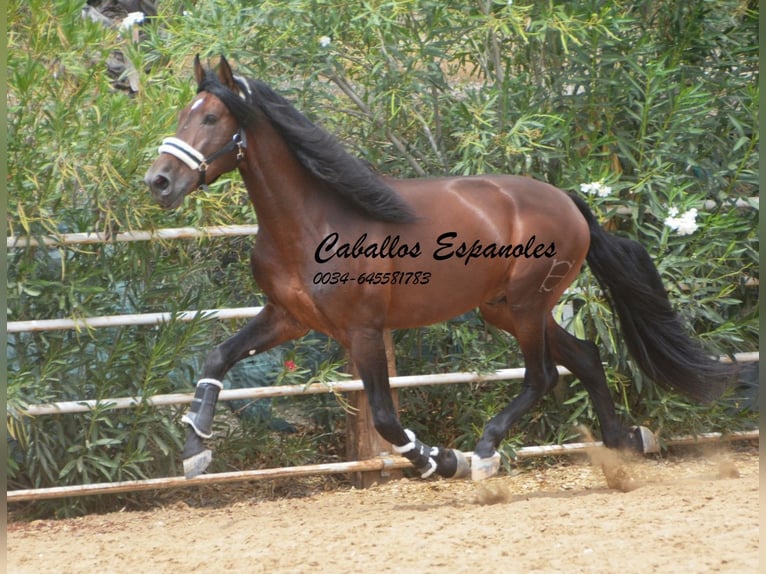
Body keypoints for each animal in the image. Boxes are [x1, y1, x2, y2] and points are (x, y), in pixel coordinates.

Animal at [146, 57, 736, 482]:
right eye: (181, 115)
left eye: (211, 117)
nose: (159, 181)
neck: (310, 223)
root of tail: (566, 199)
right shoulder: (287, 317)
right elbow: (217, 358)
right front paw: (195, 448)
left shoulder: (363, 331)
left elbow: (385, 417)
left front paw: (440, 460)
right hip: (506, 309)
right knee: (587, 359)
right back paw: (626, 440)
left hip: (526, 305)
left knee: (542, 375)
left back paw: (484, 451)